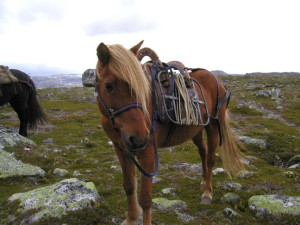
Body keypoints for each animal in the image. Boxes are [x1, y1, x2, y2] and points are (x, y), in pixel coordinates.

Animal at [95, 40, 245, 225]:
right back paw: (203, 181)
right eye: (108, 86)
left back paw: (207, 192)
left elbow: (145, 198)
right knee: (202, 152)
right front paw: (131, 218)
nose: (140, 138)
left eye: (141, 87)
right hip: (195, 130)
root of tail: (218, 80)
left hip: (213, 128)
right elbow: (129, 186)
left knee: (210, 158)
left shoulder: (148, 153)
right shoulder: (121, 149)